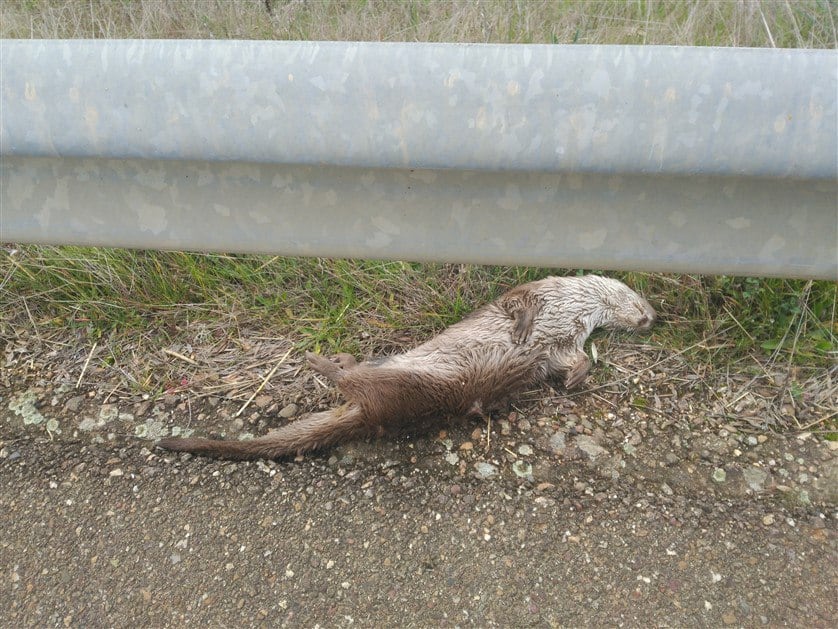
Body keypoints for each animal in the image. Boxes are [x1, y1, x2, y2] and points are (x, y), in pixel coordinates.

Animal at [158, 274, 656, 462]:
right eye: (643, 302)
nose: (653, 318)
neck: (576, 306)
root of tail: (373, 414)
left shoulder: (567, 342)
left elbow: (574, 360)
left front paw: (574, 378)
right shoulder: (537, 292)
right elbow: (520, 306)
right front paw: (521, 332)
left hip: (400, 385)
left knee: (349, 377)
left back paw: (324, 359)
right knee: (348, 377)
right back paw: (316, 357)